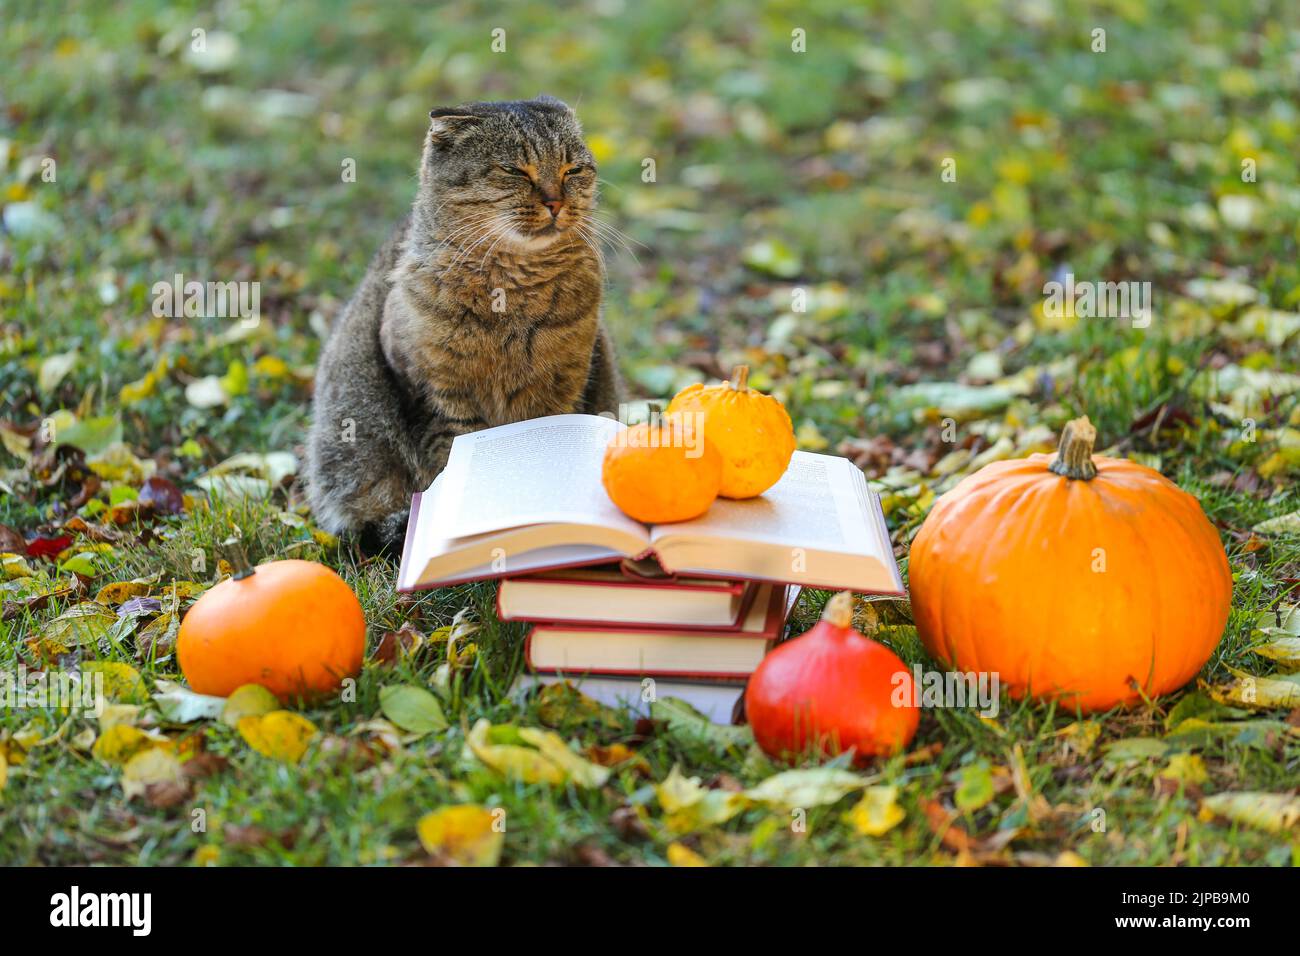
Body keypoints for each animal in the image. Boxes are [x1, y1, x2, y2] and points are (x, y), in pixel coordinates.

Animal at [309, 97, 624, 554]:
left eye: (572, 170)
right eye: (514, 170)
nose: (556, 202)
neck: (511, 300)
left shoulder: (564, 389)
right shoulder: (436, 399)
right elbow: (447, 469)